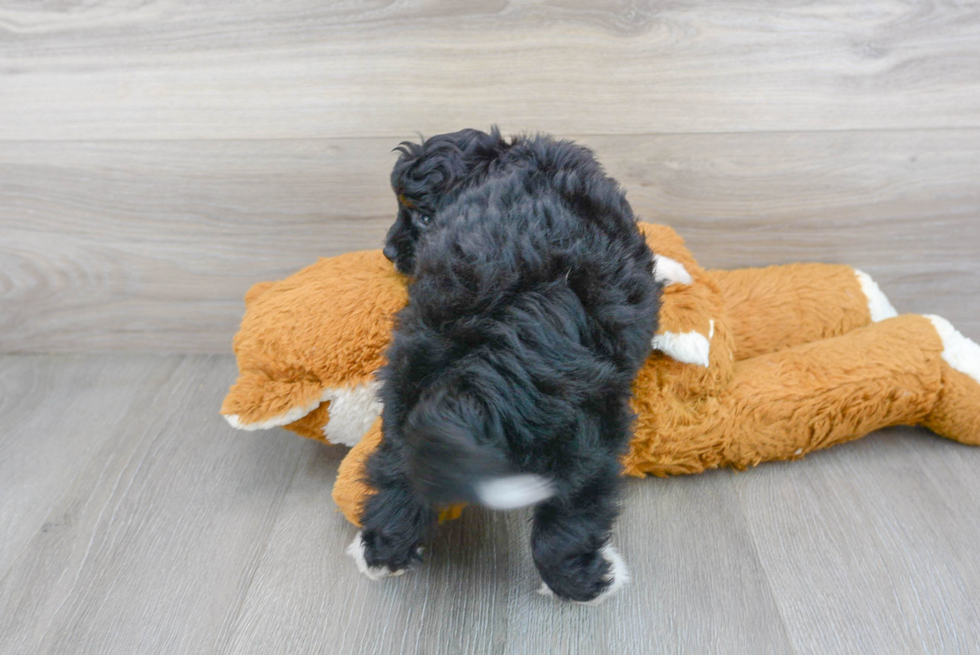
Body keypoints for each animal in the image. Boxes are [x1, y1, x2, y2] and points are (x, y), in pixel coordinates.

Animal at [348, 133, 664, 604]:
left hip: (409, 375)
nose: (387, 251)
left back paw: (383, 553)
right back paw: (588, 583)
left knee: (396, 467)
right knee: (572, 513)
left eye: (423, 217)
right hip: (588, 432)